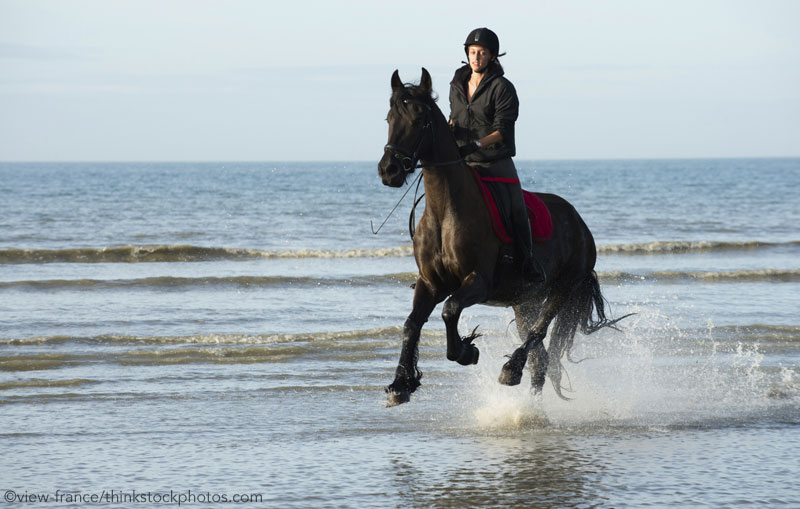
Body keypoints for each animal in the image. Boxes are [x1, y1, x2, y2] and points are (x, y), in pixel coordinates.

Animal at [378, 69, 628, 406]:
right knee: (540, 359)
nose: (389, 171)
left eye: (419, 118)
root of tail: (580, 225)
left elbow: (450, 310)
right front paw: (401, 384)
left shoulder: (477, 282)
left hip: (563, 288)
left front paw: (466, 351)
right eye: (389, 117)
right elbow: (411, 324)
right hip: (525, 302)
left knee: (538, 334)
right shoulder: (430, 283)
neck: (445, 210)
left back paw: (511, 370)